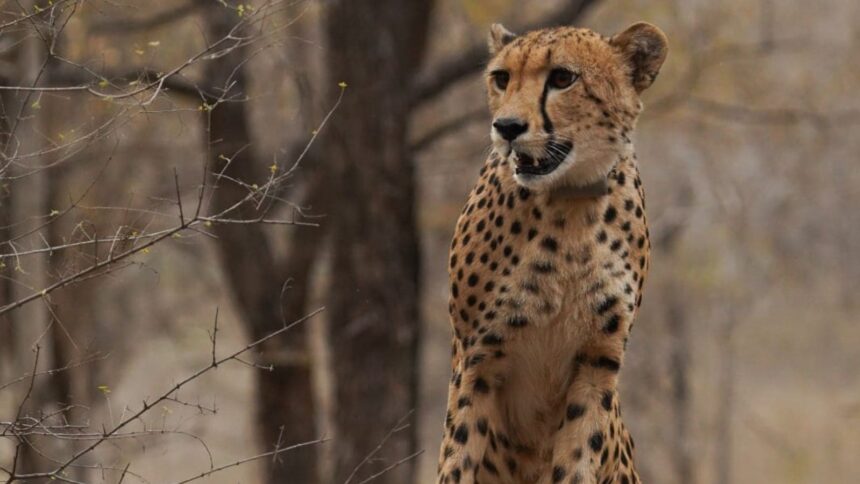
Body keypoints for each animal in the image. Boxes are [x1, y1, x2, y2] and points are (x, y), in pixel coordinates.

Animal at [436, 21, 668, 484]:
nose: (506, 126)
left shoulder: (596, 365)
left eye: (562, 78)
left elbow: (578, 454)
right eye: (501, 78)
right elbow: (458, 457)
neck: (570, 203)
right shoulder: (475, 362)